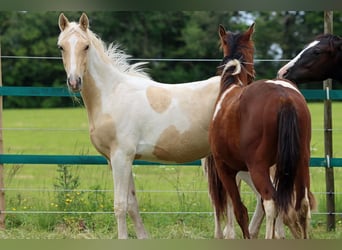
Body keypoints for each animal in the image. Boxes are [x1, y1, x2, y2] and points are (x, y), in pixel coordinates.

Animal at [207, 24, 314, 239]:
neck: (230, 88)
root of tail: (284, 97)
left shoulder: (225, 169)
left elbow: (240, 211)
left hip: (258, 168)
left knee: (271, 202)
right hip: (301, 162)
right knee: (302, 205)